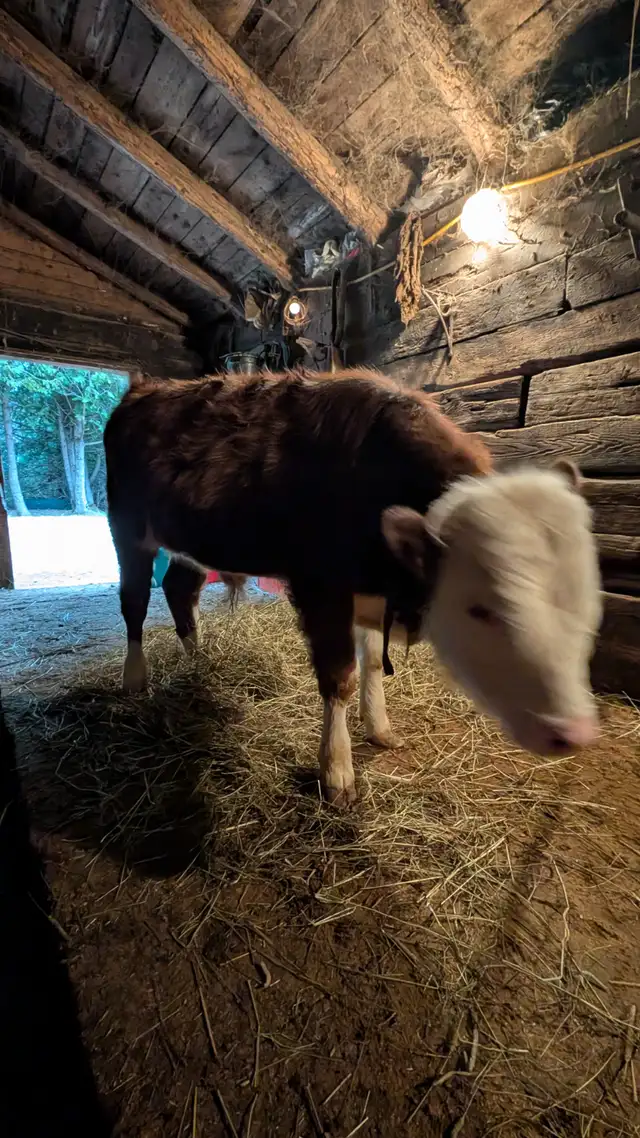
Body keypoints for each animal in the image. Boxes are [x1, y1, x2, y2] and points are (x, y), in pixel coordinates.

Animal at [104, 368, 602, 806]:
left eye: (587, 602)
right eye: (481, 609)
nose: (572, 731)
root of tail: (144, 388)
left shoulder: (371, 592)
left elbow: (374, 663)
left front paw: (379, 727)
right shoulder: (321, 585)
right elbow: (340, 675)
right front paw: (337, 771)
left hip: (189, 539)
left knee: (179, 589)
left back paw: (199, 660)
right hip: (126, 526)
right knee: (134, 602)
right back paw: (135, 679)